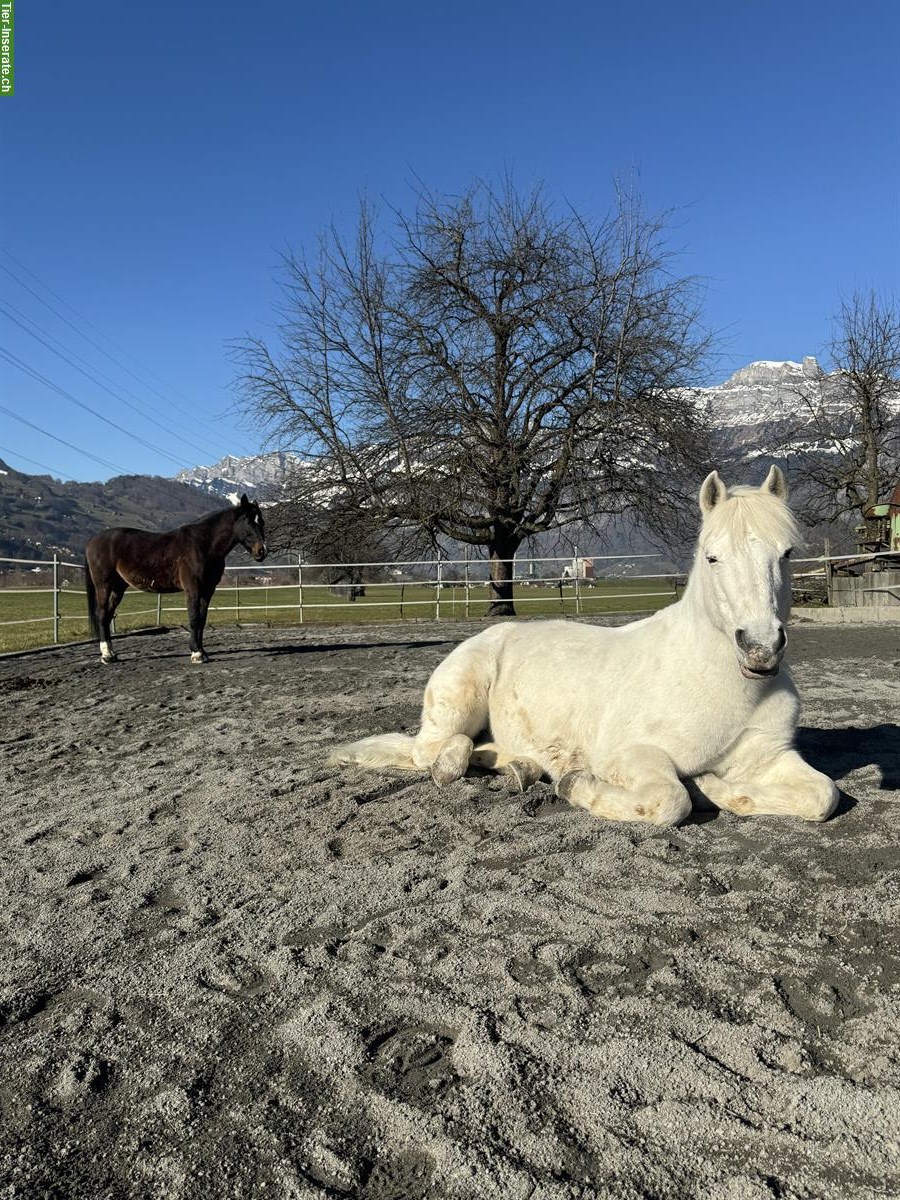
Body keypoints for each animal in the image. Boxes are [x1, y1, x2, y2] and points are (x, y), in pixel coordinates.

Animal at [84, 494, 267, 667]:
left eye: (261, 521)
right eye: (248, 521)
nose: (262, 551)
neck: (203, 544)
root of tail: (93, 540)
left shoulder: (208, 590)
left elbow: (202, 620)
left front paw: (202, 651)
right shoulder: (193, 589)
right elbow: (194, 619)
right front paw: (196, 654)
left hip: (118, 587)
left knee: (108, 615)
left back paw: (112, 654)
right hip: (104, 586)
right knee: (102, 614)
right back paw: (106, 656)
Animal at [328, 468, 844, 825]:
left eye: (787, 553)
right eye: (713, 557)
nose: (761, 648)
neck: (725, 688)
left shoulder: (773, 758)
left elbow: (824, 794)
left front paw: (717, 788)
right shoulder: (630, 756)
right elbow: (669, 801)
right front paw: (579, 785)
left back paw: (521, 770)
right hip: (457, 701)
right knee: (434, 751)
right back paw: (465, 765)